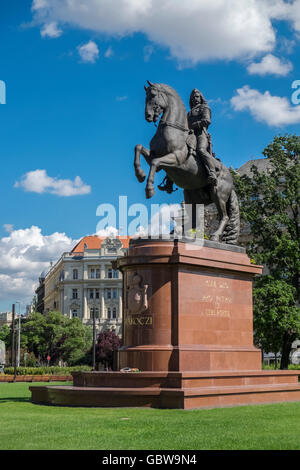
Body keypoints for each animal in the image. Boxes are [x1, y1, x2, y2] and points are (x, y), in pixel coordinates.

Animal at [135, 81, 240, 242]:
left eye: (152, 95)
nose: (148, 116)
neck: (172, 129)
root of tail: (231, 179)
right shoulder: (154, 156)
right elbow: (139, 148)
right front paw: (140, 174)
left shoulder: (176, 158)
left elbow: (155, 163)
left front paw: (149, 189)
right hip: (192, 197)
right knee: (194, 219)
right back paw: (182, 235)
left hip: (218, 194)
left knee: (224, 216)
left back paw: (214, 236)